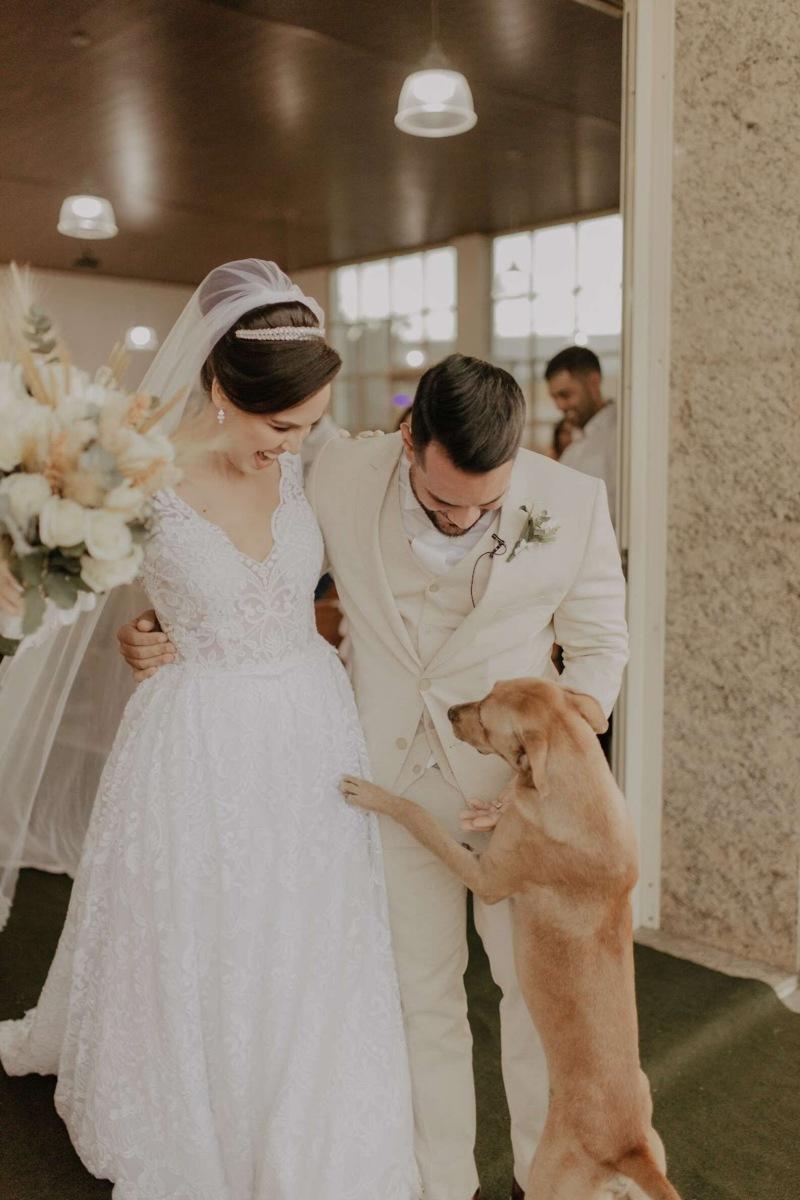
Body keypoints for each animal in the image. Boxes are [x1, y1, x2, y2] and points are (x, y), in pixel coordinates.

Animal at [343, 681, 681, 1200]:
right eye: (489, 690)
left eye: (485, 716)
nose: (450, 711)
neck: (579, 785)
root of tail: (626, 1148)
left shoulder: (486, 878)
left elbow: (421, 818)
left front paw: (376, 794)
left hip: (548, 1177)